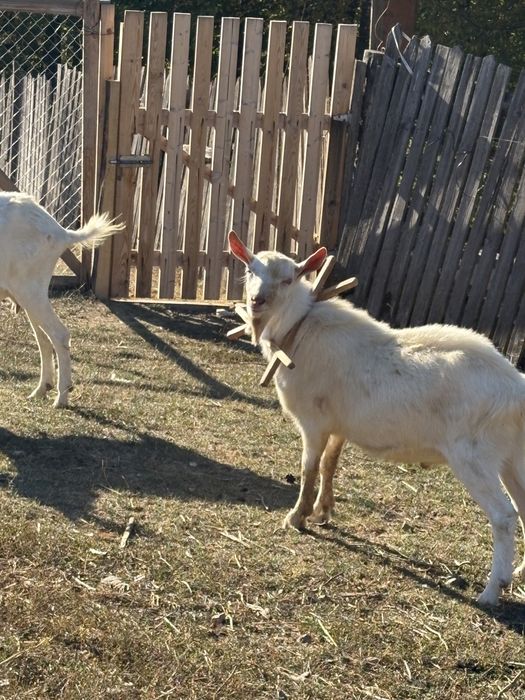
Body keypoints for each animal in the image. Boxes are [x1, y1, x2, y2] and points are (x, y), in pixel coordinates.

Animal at [0, 192, 123, 407]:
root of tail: (61, 233)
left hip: (30, 291)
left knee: (59, 335)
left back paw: (61, 398)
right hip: (30, 295)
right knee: (44, 339)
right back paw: (42, 389)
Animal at [229, 230, 525, 606]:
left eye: (288, 278)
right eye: (250, 269)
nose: (257, 300)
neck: (298, 330)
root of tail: (516, 386)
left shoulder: (313, 422)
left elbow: (308, 468)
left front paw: (297, 517)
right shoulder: (339, 425)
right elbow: (330, 465)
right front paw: (324, 511)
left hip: (474, 456)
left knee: (504, 516)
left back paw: (491, 590)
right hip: (513, 458)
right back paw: (518, 573)